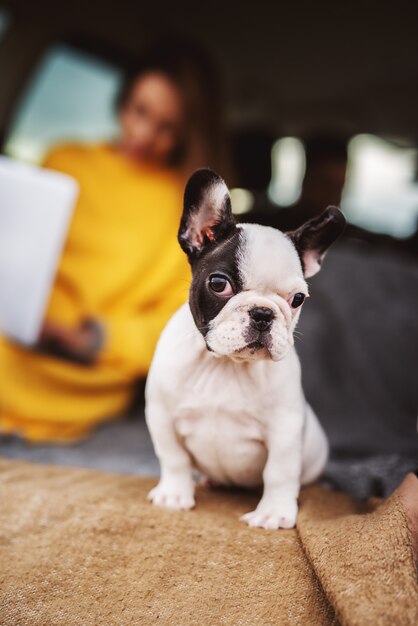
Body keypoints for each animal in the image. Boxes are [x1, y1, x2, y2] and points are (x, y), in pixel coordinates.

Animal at [145, 169, 344, 528]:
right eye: (218, 284)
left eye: (298, 299)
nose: (263, 313)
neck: (226, 364)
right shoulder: (162, 417)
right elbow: (174, 457)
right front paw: (174, 495)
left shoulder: (285, 428)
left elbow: (279, 472)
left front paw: (274, 513)